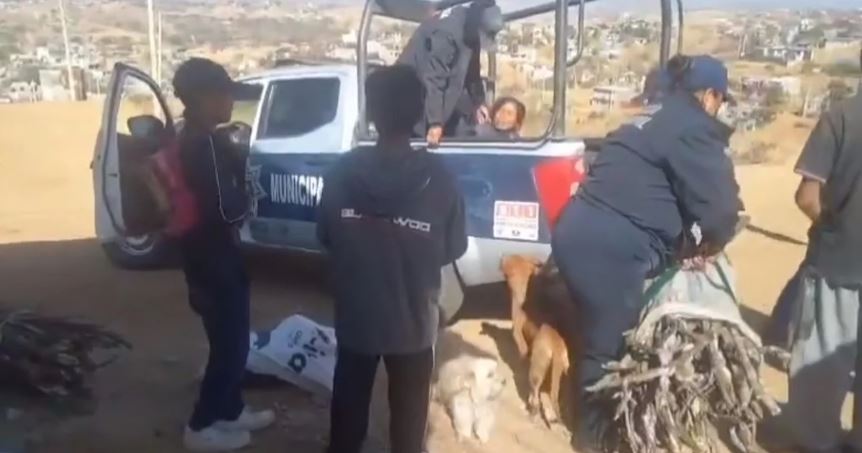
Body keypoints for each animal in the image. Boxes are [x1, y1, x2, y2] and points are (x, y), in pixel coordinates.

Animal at [500, 254, 572, 424]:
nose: (501, 257)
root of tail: (557, 348)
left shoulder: (517, 333)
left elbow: (521, 350)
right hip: (560, 369)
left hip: (536, 372)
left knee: (535, 395)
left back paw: (531, 411)